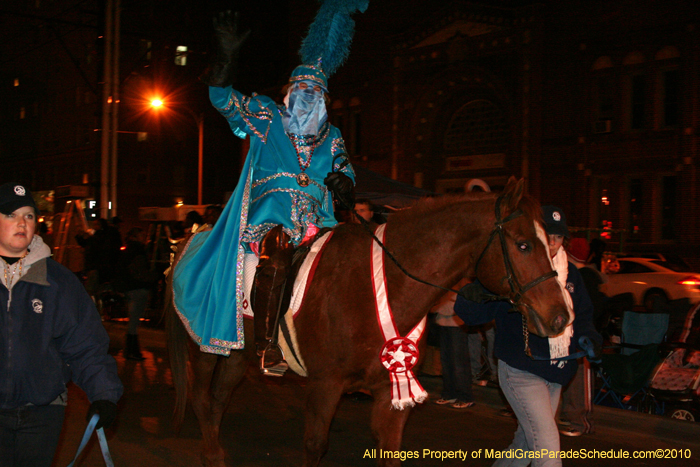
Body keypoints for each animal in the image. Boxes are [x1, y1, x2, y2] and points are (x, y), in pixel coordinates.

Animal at [167, 177, 572, 466]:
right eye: (523, 244)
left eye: (548, 244)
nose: (560, 317)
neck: (378, 284)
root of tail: (190, 242)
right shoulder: (325, 385)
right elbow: (314, 445)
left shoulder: (389, 390)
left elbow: (388, 449)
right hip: (204, 347)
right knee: (202, 398)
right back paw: (212, 455)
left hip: (238, 354)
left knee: (218, 400)